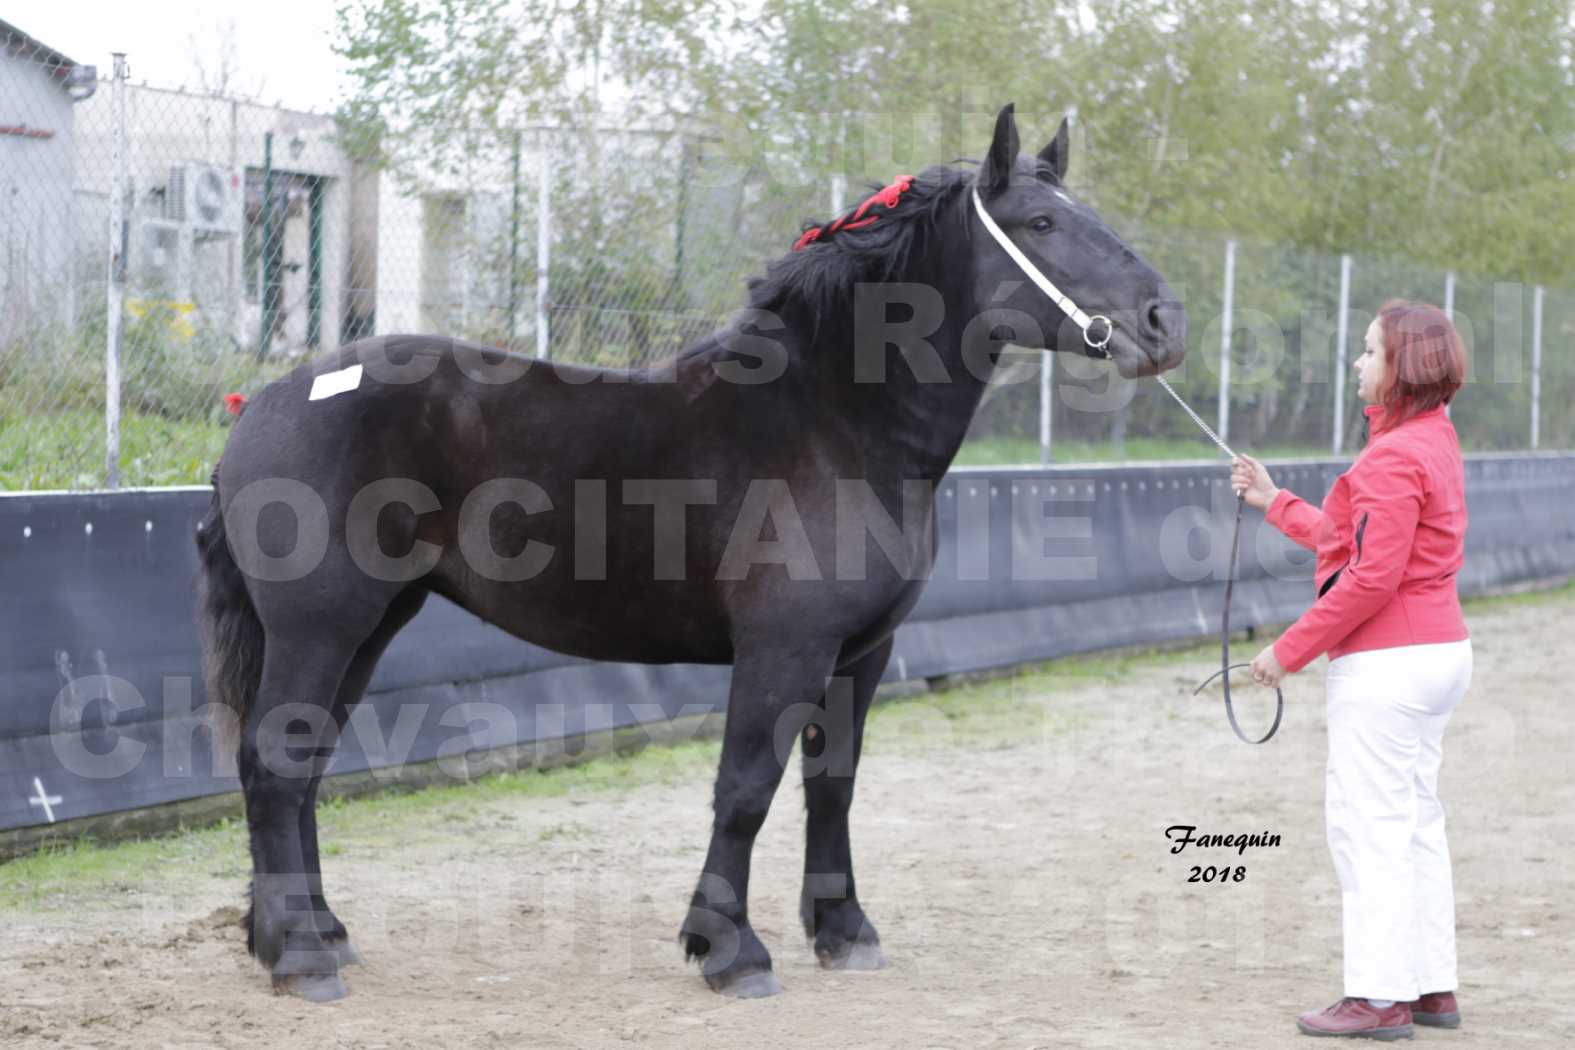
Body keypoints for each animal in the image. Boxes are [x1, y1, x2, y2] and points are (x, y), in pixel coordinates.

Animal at [193, 104, 1184, 1001]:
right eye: (1042, 224)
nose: (1162, 321)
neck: (833, 421)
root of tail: (263, 405)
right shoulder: (783, 650)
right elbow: (745, 789)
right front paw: (730, 951)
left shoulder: (861, 654)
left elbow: (833, 786)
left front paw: (844, 933)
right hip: (324, 624)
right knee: (274, 763)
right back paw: (300, 957)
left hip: (371, 625)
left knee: (304, 764)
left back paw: (317, 931)